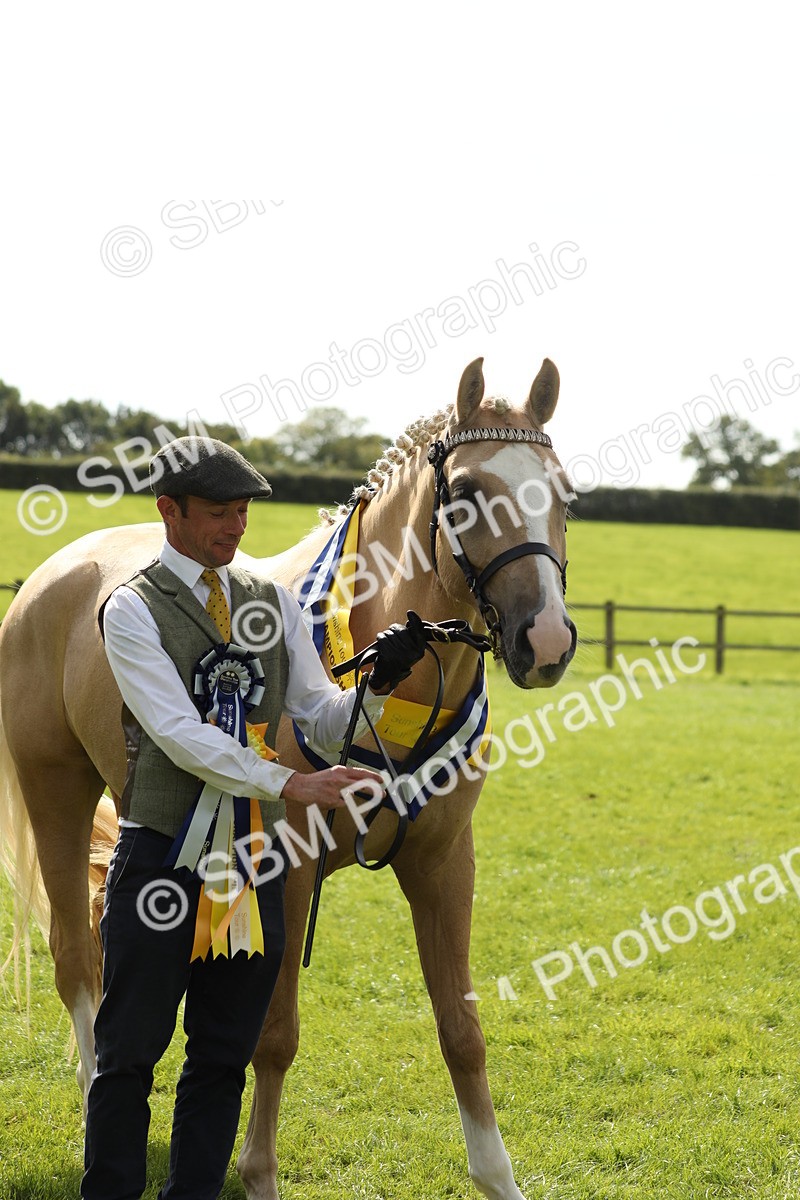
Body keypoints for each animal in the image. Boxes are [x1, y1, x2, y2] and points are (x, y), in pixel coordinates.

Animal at [0, 356, 576, 1200]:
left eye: (564, 495)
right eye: (468, 491)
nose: (548, 640)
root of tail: (56, 572)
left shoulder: (444, 863)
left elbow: (461, 1030)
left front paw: (499, 1177)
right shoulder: (288, 867)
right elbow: (273, 1035)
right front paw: (258, 1173)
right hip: (57, 791)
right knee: (77, 956)